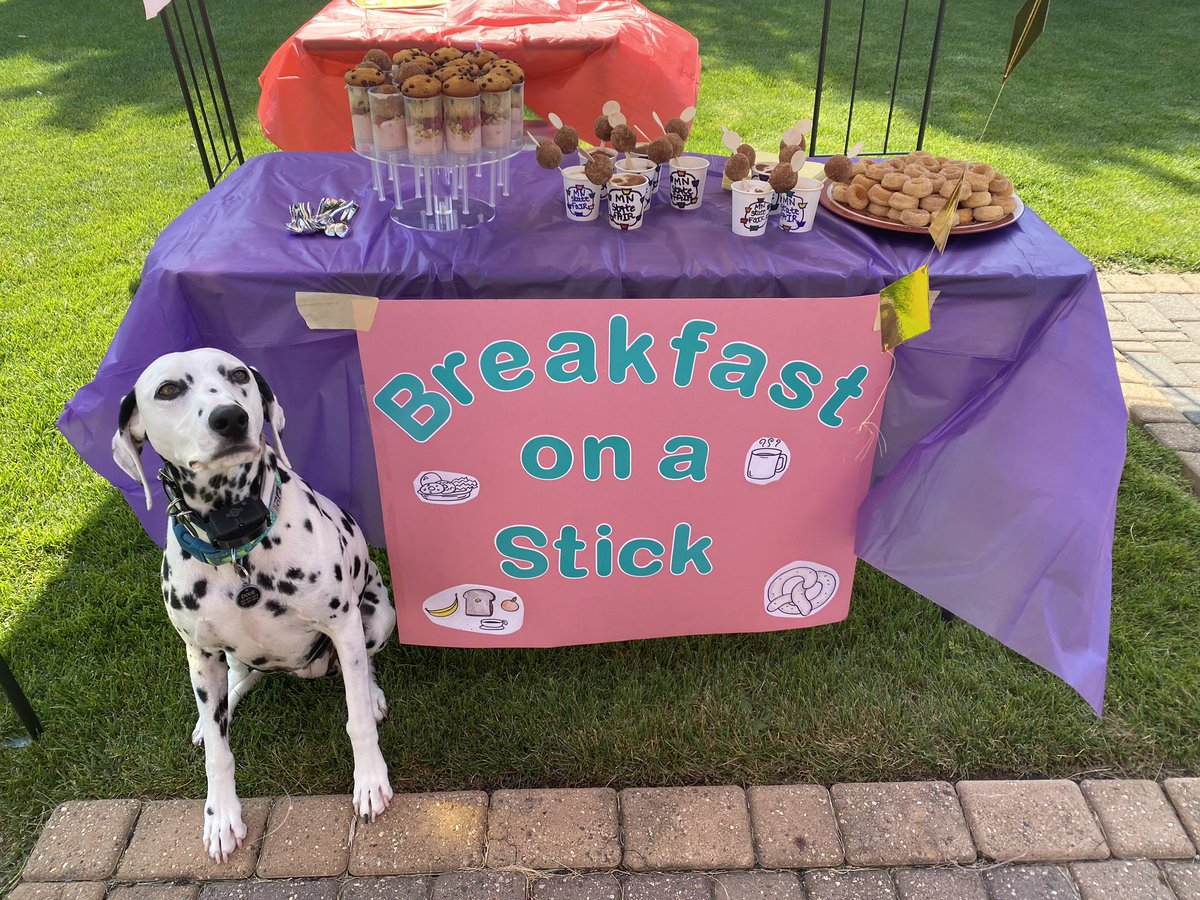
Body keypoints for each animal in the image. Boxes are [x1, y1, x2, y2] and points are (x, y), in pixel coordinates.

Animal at [111, 348, 398, 864]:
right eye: (167, 389)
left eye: (238, 375)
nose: (231, 417)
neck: (234, 542)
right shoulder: (200, 652)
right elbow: (219, 754)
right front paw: (221, 815)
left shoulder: (343, 624)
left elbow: (357, 720)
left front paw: (369, 781)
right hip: (228, 658)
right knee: (239, 683)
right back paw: (212, 716)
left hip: (377, 616)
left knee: (362, 670)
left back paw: (371, 692)